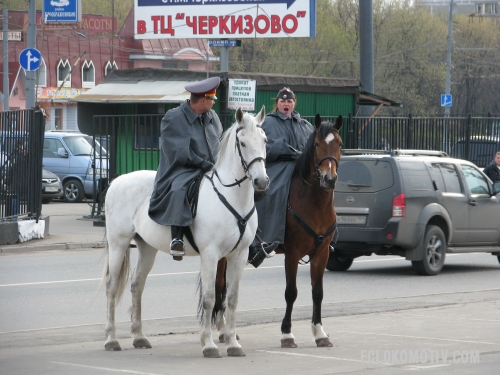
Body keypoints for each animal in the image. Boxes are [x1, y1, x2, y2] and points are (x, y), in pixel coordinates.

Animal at [102, 107, 270, 360]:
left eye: (264, 140)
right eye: (242, 142)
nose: (261, 181)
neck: (233, 199)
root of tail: (115, 181)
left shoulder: (238, 256)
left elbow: (231, 299)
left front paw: (232, 343)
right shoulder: (210, 255)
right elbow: (210, 298)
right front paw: (209, 345)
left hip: (147, 249)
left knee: (136, 286)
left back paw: (139, 337)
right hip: (118, 245)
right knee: (112, 288)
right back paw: (112, 339)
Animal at [213, 115, 342, 350]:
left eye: (339, 143)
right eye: (317, 144)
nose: (329, 179)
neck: (314, 204)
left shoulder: (322, 253)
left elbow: (317, 292)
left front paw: (319, 333)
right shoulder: (292, 254)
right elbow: (291, 293)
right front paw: (287, 334)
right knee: (219, 285)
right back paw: (222, 329)